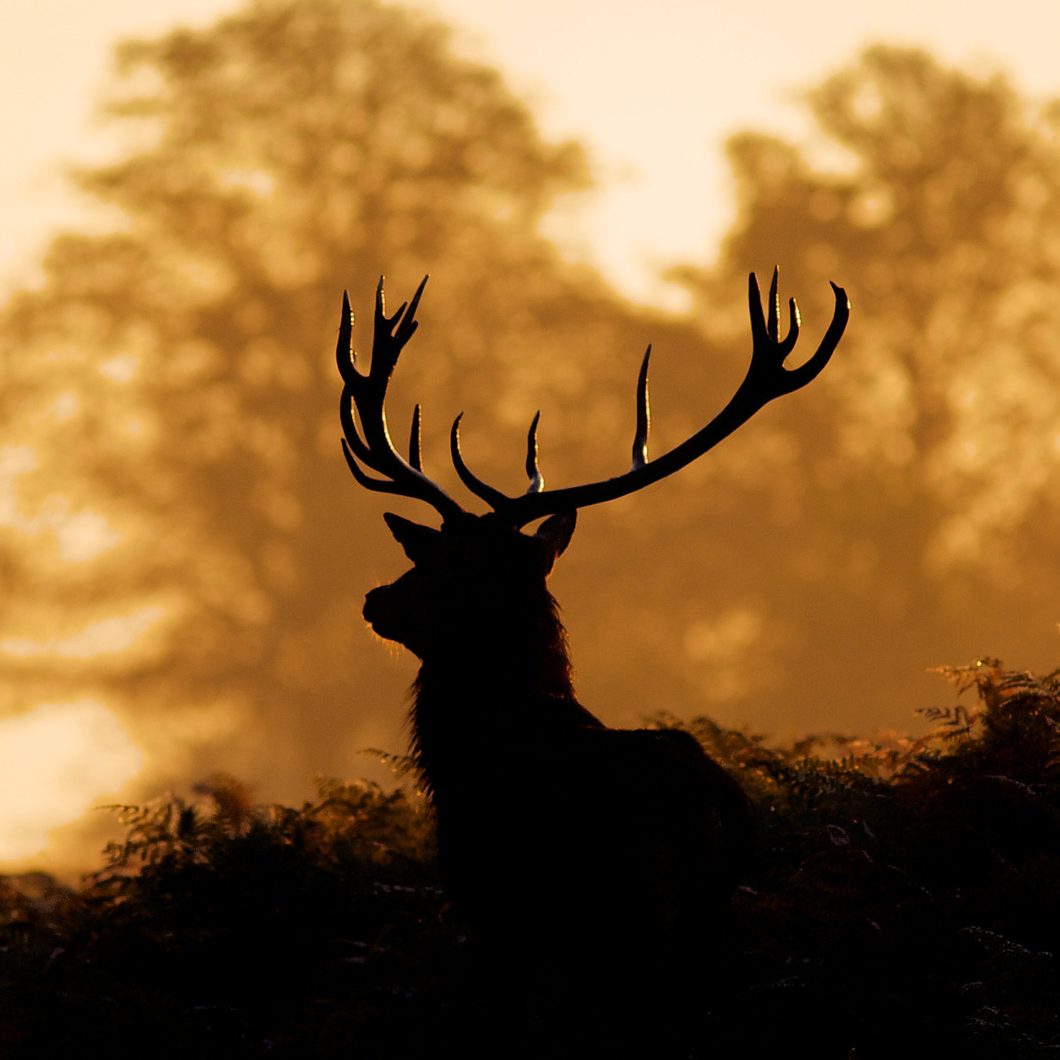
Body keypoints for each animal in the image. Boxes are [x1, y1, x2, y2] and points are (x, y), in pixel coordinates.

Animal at [337, 271, 849, 1044]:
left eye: (443, 561)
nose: (377, 600)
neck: (465, 761)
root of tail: (709, 817)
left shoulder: (496, 909)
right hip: (699, 934)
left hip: (623, 924)